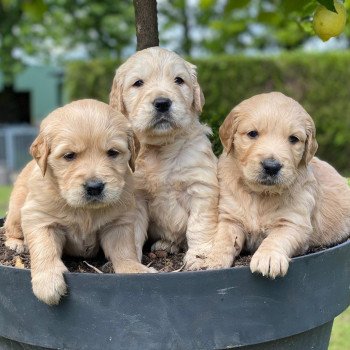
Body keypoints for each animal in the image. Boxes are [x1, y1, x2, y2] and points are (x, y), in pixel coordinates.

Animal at [2, 98, 153, 304]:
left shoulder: (119, 222)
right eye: (69, 156)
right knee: (10, 227)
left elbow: (124, 249)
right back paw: (16, 243)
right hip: (17, 209)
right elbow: (44, 247)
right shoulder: (39, 218)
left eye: (112, 152)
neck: (85, 211)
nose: (95, 187)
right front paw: (47, 281)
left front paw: (134, 269)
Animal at [109, 47, 219, 270]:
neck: (161, 149)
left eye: (179, 80)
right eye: (138, 83)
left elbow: (200, 225)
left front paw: (199, 256)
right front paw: (133, 261)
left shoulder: (201, 186)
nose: (162, 103)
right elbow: (132, 231)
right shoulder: (135, 196)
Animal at [205, 91, 350, 278]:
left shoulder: (294, 222)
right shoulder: (230, 217)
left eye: (293, 139)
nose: (271, 166)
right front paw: (212, 260)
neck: (260, 195)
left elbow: (277, 237)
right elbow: (224, 238)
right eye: (252, 134)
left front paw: (267, 258)